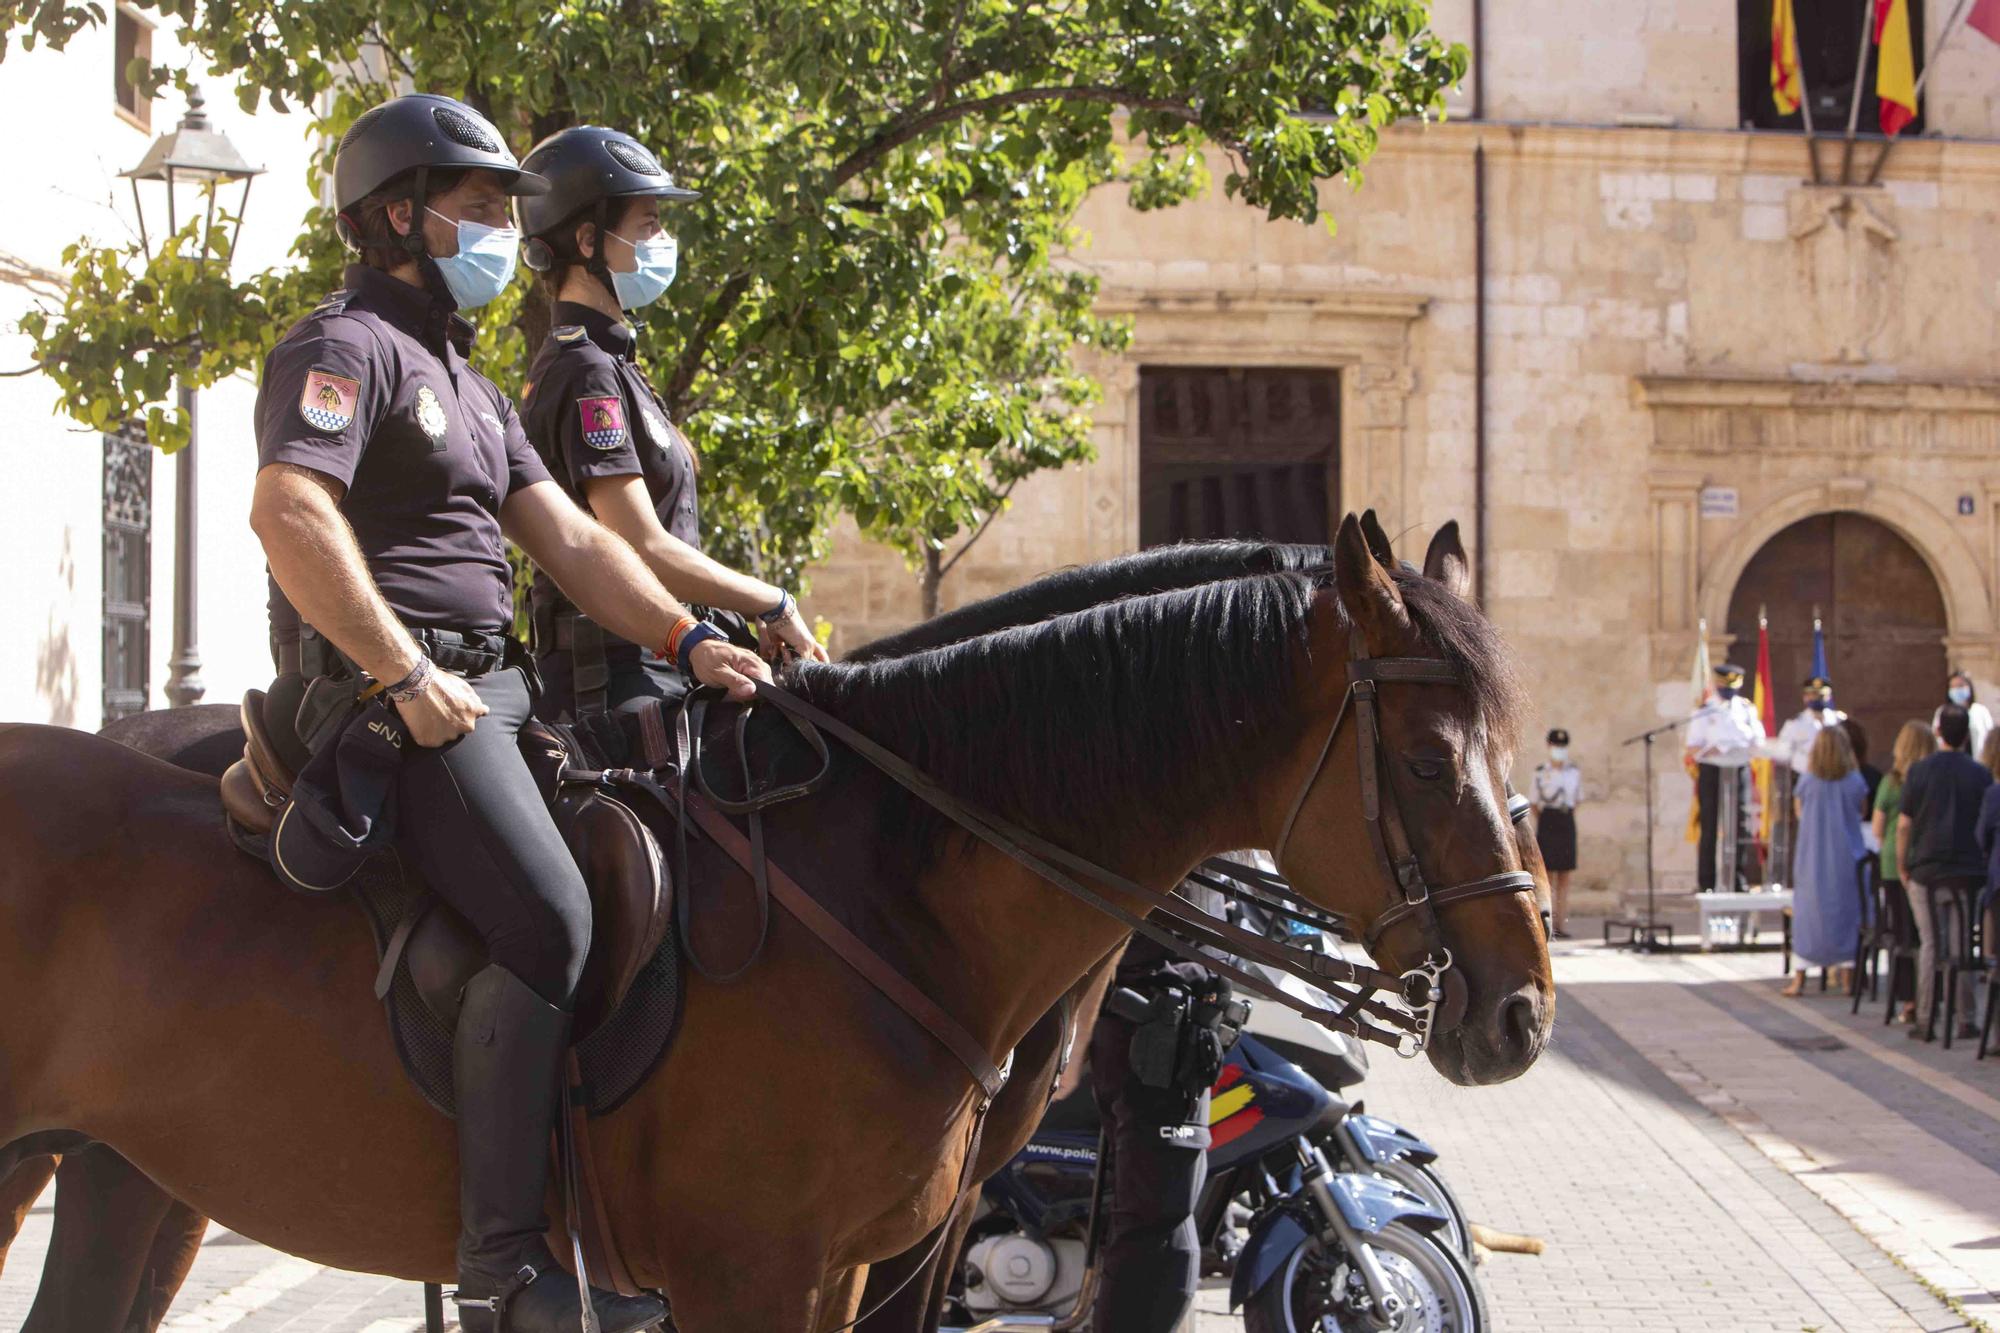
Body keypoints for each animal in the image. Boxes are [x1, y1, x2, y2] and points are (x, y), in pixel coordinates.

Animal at [0, 512, 1544, 1320]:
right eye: (1424, 762)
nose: (1519, 1008)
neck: (884, 888)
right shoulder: (754, 1271)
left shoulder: (862, 1267)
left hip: (127, 1176)